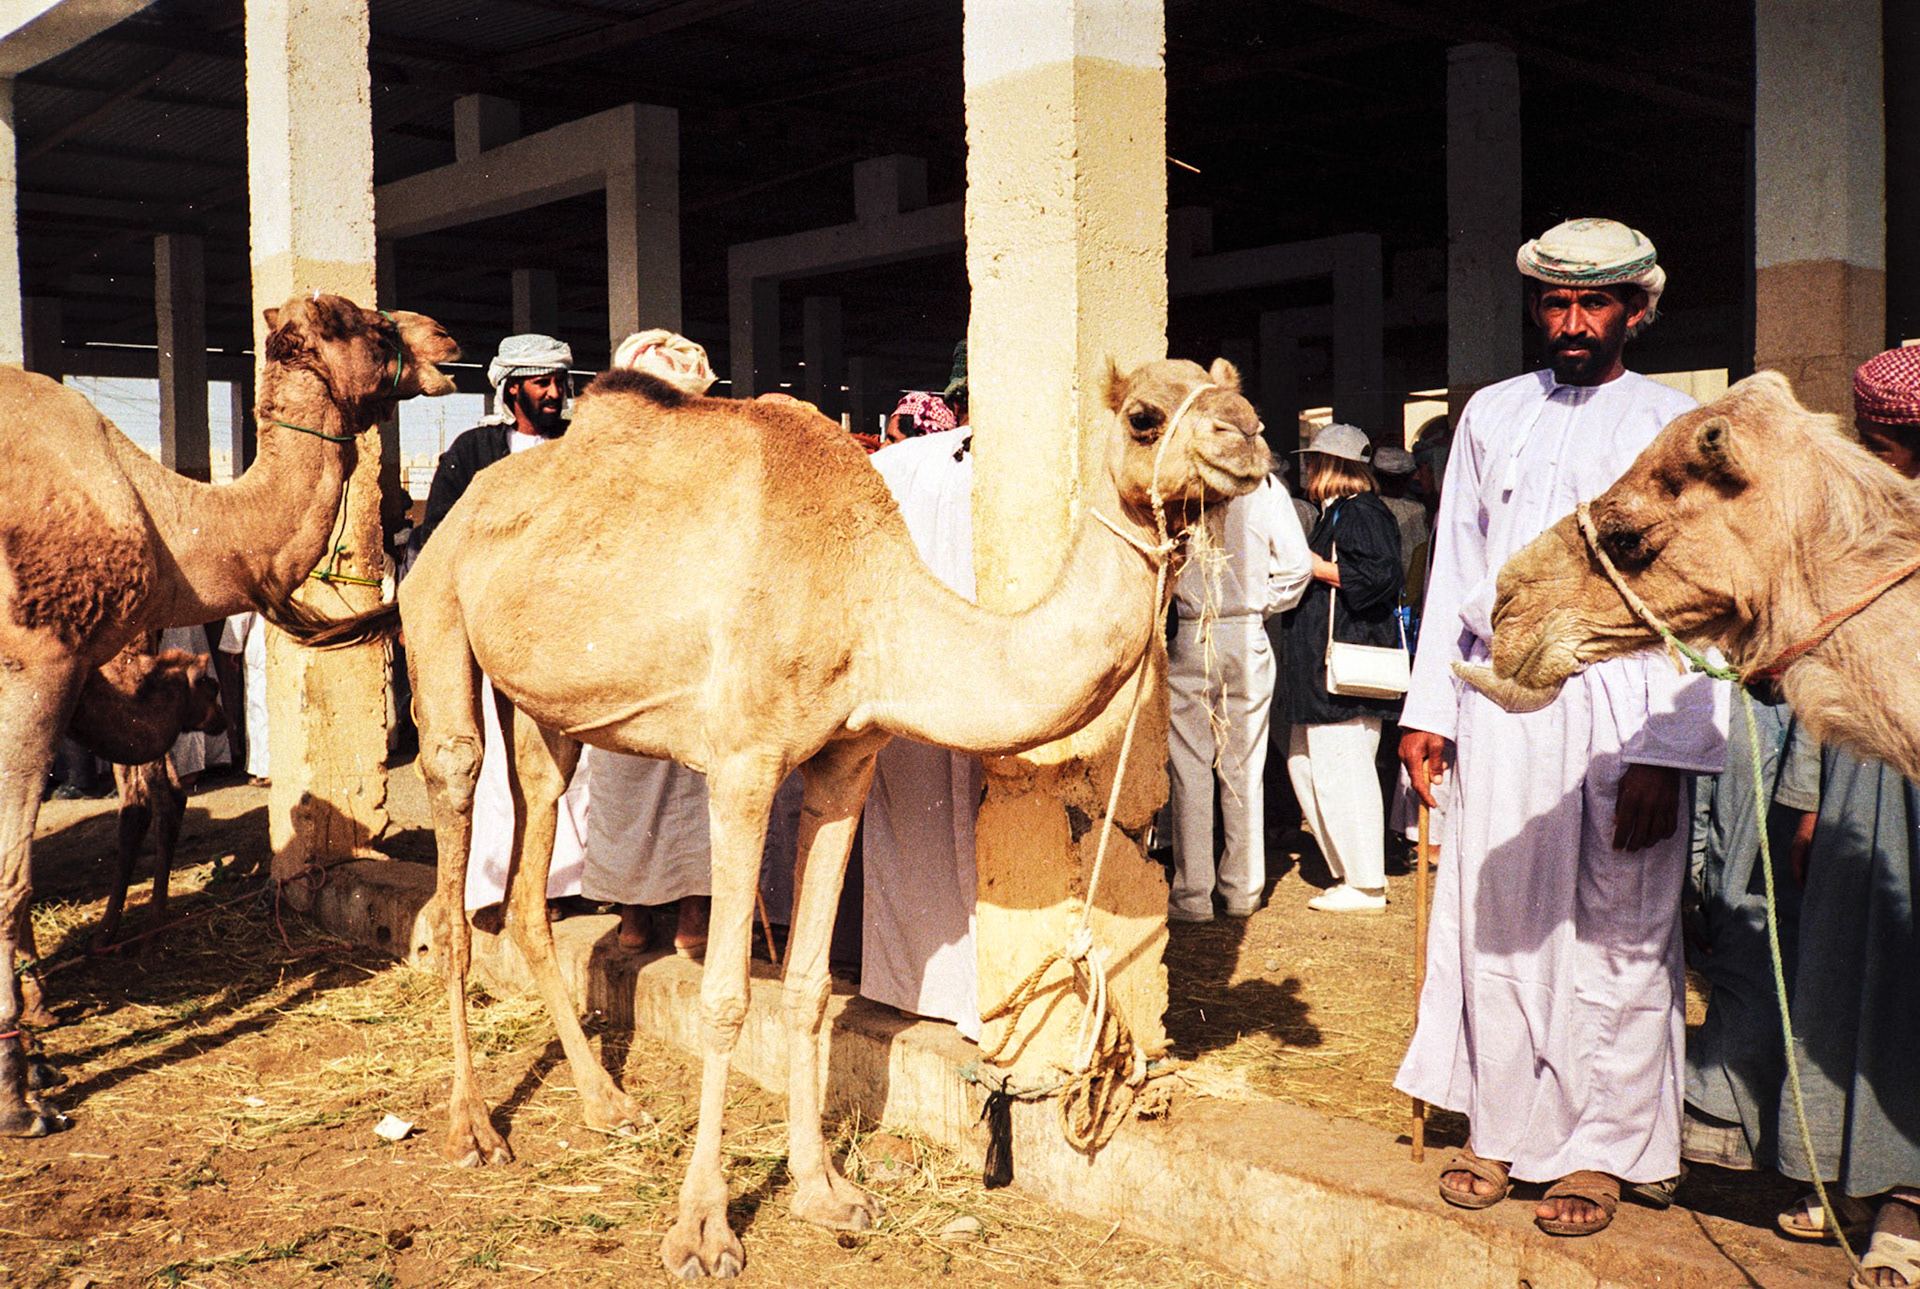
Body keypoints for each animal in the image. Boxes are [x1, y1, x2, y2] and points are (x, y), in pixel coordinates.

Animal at [0, 293, 459, 1137]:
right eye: (363, 322)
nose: (444, 337)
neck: (161, 519)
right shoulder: (37, 665)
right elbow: (12, 877)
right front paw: (21, 1098)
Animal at [297, 354, 1268, 1279]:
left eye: (1228, 389)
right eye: (1143, 415)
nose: (1249, 437)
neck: (869, 601)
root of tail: (449, 514)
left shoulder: (848, 761)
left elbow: (806, 987)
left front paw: (825, 1191)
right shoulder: (742, 765)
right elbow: (727, 995)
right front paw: (702, 1230)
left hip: (551, 712)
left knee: (535, 876)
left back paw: (609, 1104)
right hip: (439, 619)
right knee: (456, 847)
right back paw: (474, 1127)